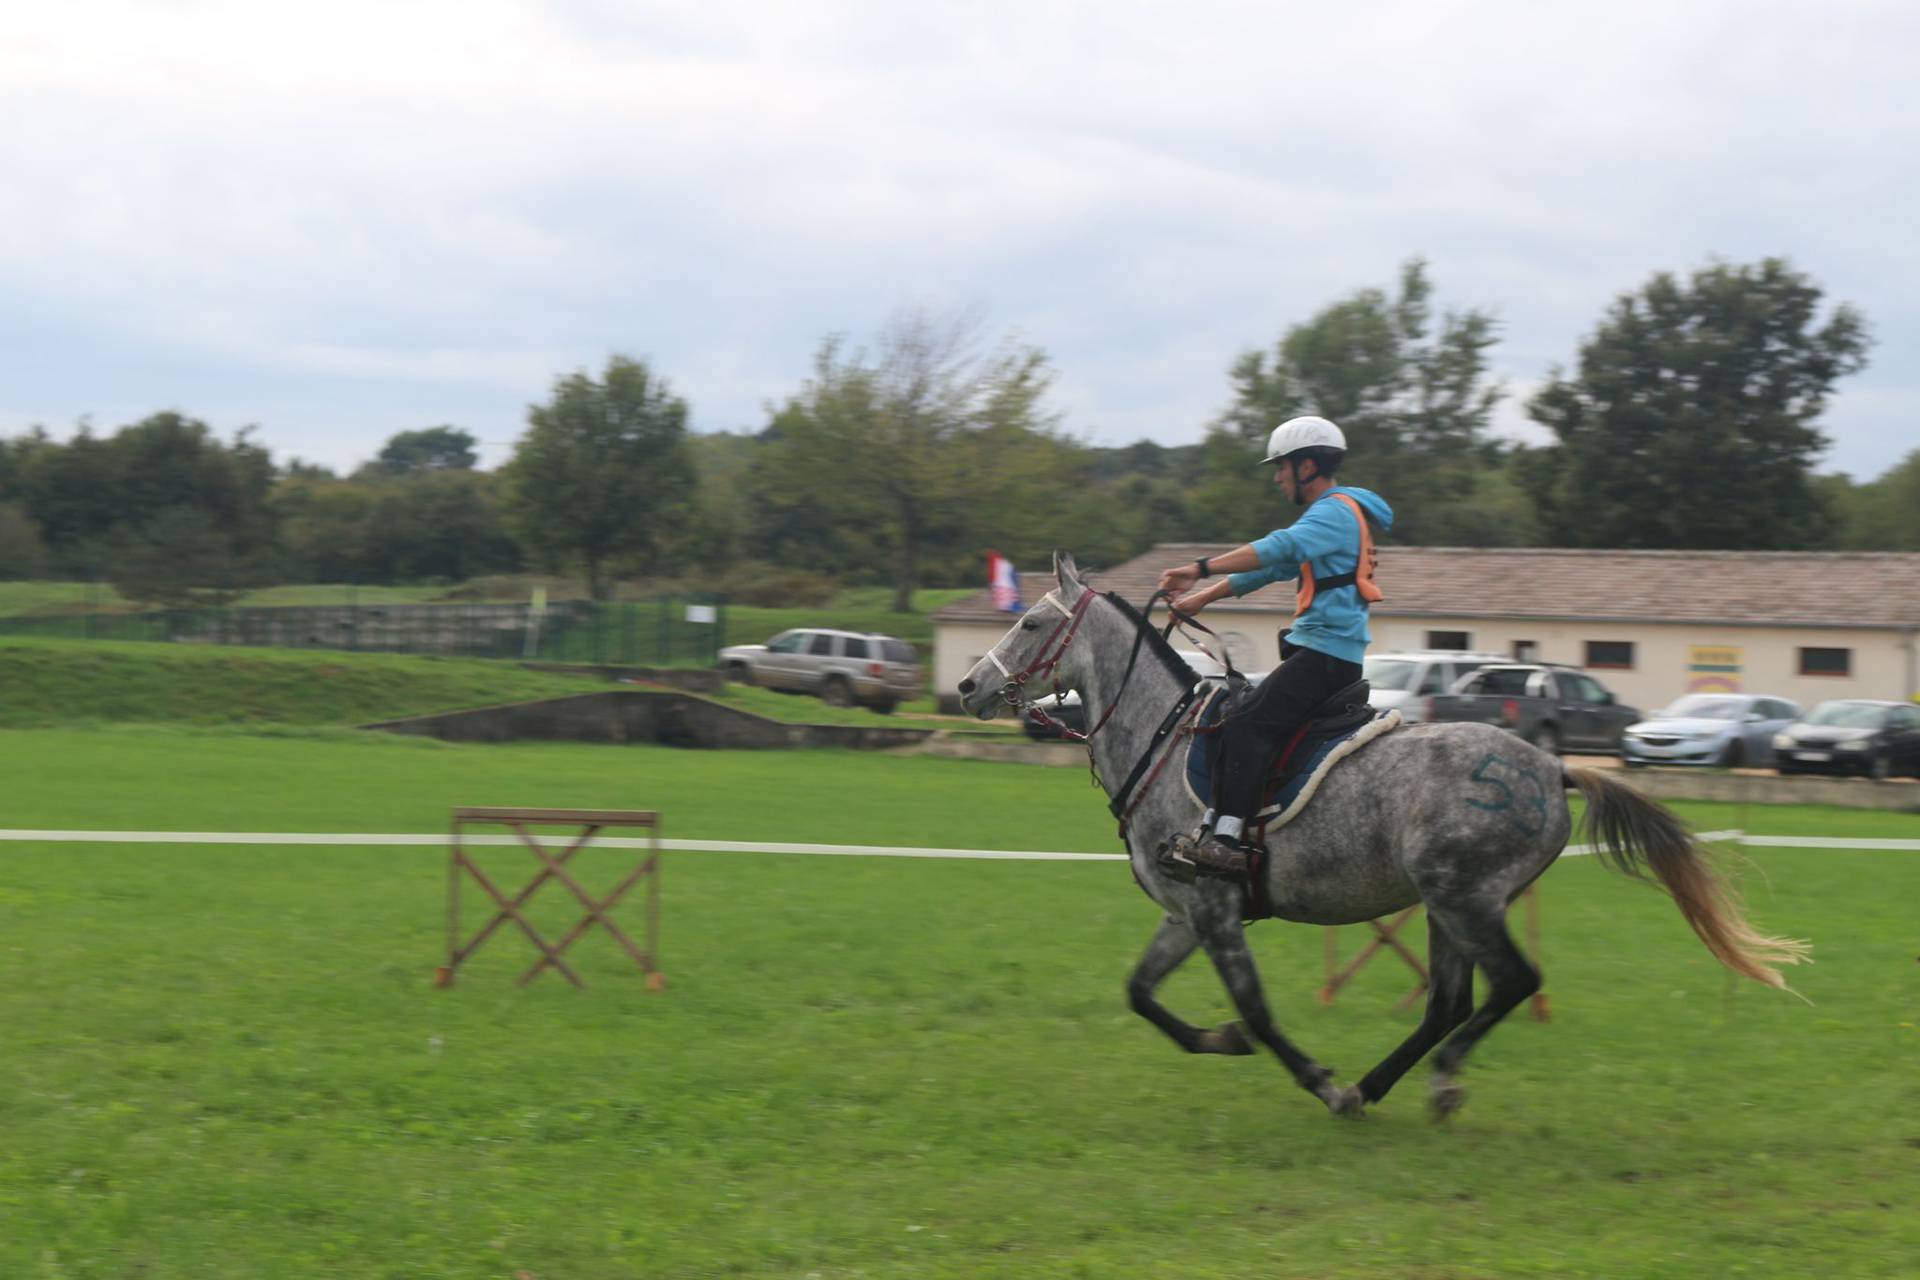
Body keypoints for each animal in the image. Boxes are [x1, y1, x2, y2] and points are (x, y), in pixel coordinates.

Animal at [956, 556, 1797, 1113]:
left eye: (1031, 621)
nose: (968, 686)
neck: (1159, 737)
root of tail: (1552, 769)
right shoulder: (1185, 912)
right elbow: (1140, 993)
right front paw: (1221, 1042)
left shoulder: (1216, 912)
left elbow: (1257, 1011)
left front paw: (1313, 1078)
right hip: (1445, 908)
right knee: (1449, 1003)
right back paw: (1380, 1083)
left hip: (1463, 900)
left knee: (1509, 986)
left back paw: (1427, 1080)